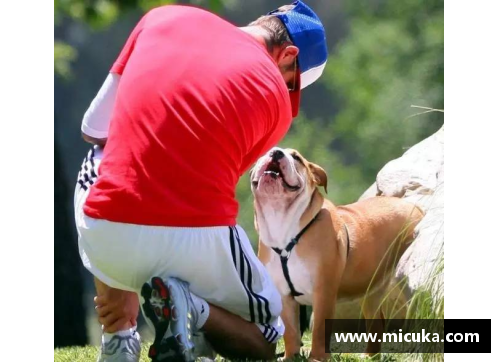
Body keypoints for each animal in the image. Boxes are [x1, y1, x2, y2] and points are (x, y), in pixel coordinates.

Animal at [252, 147, 424, 360]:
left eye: (296, 158)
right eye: (266, 152)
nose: (276, 153)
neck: (282, 222)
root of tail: (416, 208)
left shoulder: (323, 291)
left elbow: (319, 330)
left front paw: (317, 358)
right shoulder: (284, 294)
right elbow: (291, 331)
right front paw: (291, 357)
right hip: (371, 290)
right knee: (376, 322)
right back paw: (369, 356)